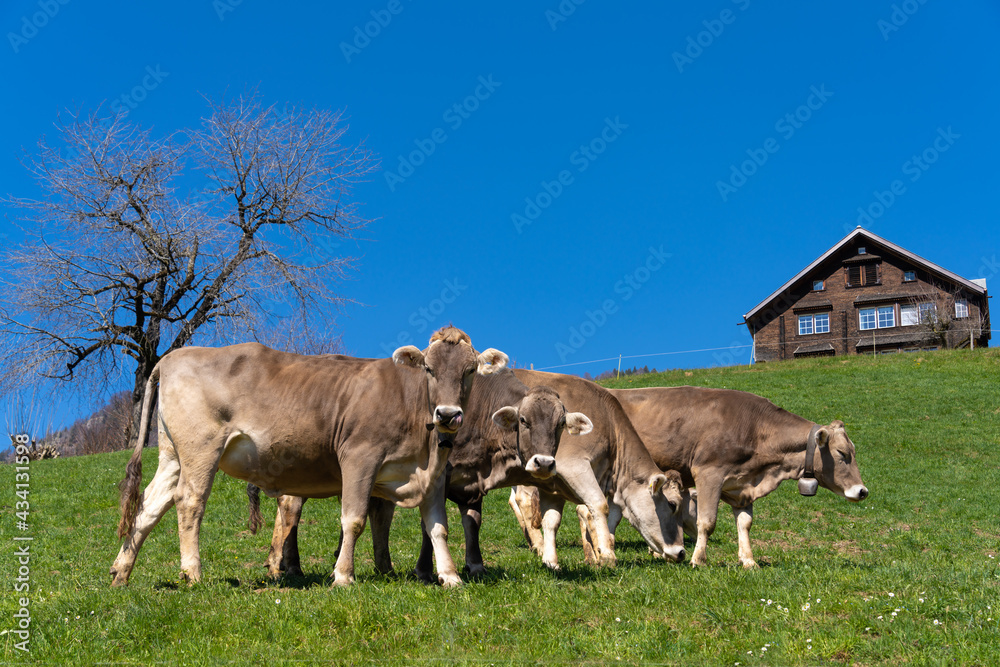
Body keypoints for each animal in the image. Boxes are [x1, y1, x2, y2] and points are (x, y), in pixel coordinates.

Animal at [110, 326, 507, 588]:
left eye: (469, 371)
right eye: (429, 368)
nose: (448, 414)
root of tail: (174, 356)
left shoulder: (433, 474)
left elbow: (437, 526)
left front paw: (450, 575)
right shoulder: (359, 457)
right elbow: (353, 520)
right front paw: (343, 576)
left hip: (172, 454)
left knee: (151, 503)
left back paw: (121, 572)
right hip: (201, 448)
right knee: (189, 502)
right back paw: (192, 573)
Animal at [267, 368, 596, 580]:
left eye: (560, 424)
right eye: (524, 421)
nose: (544, 463)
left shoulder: (473, 481)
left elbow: (472, 522)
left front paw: (475, 564)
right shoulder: (439, 474)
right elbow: (429, 526)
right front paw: (425, 569)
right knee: (291, 509)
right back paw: (288, 565)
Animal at [604, 386, 869, 568]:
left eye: (854, 451)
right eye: (842, 453)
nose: (862, 491)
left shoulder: (742, 487)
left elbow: (745, 523)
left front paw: (748, 560)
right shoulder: (709, 474)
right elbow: (707, 522)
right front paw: (698, 560)